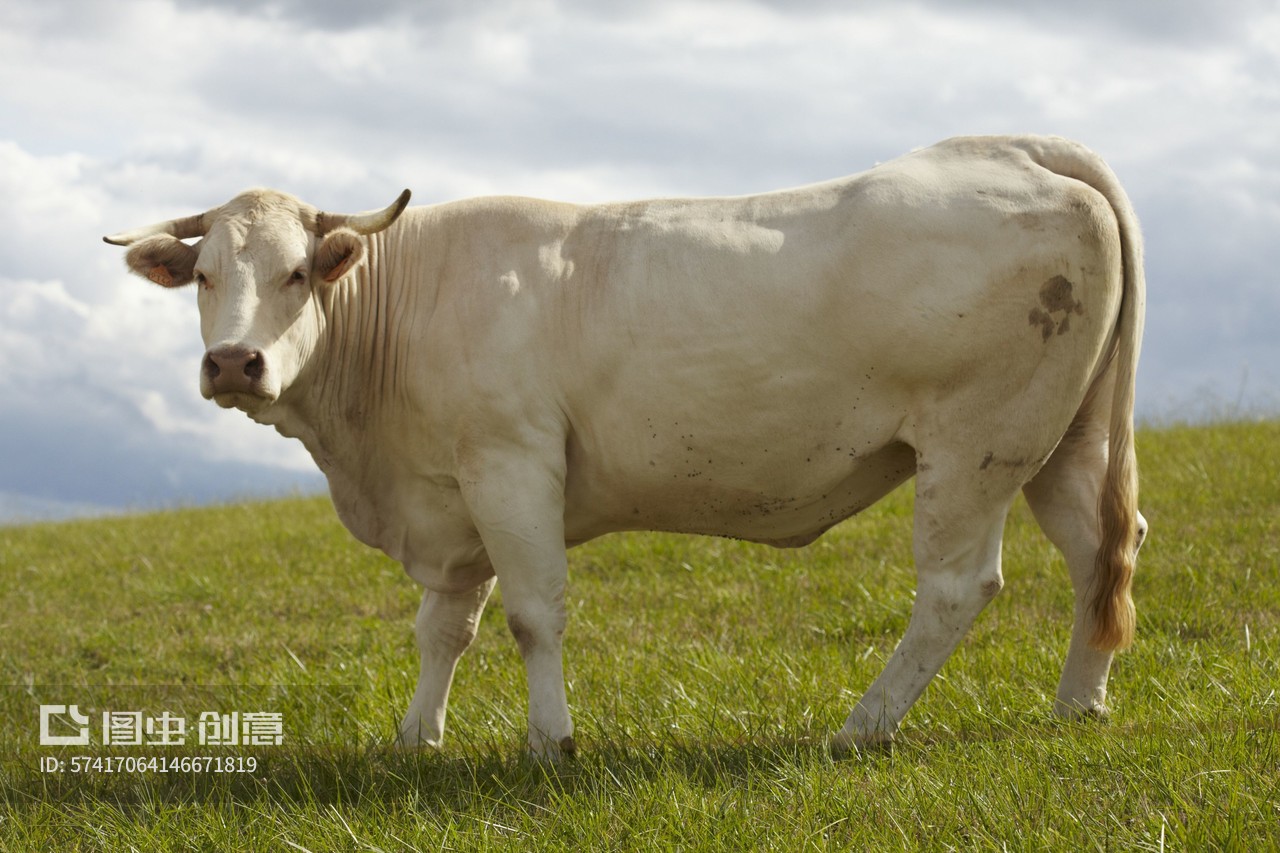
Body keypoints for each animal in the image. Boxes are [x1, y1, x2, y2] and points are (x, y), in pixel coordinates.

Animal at [104, 136, 1146, 753]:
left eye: (294, 272)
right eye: (203, 274)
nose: (233, 363)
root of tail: (1013, 150)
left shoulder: (512, 464)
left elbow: (532, 614)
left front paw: (551, 741)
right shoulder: (454, 489)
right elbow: (443, 626)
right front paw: (415, 738)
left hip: (976, 443)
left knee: (958, 586)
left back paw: (860, 727)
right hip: (1063, 439)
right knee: (1102, 552)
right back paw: (1079, 703)